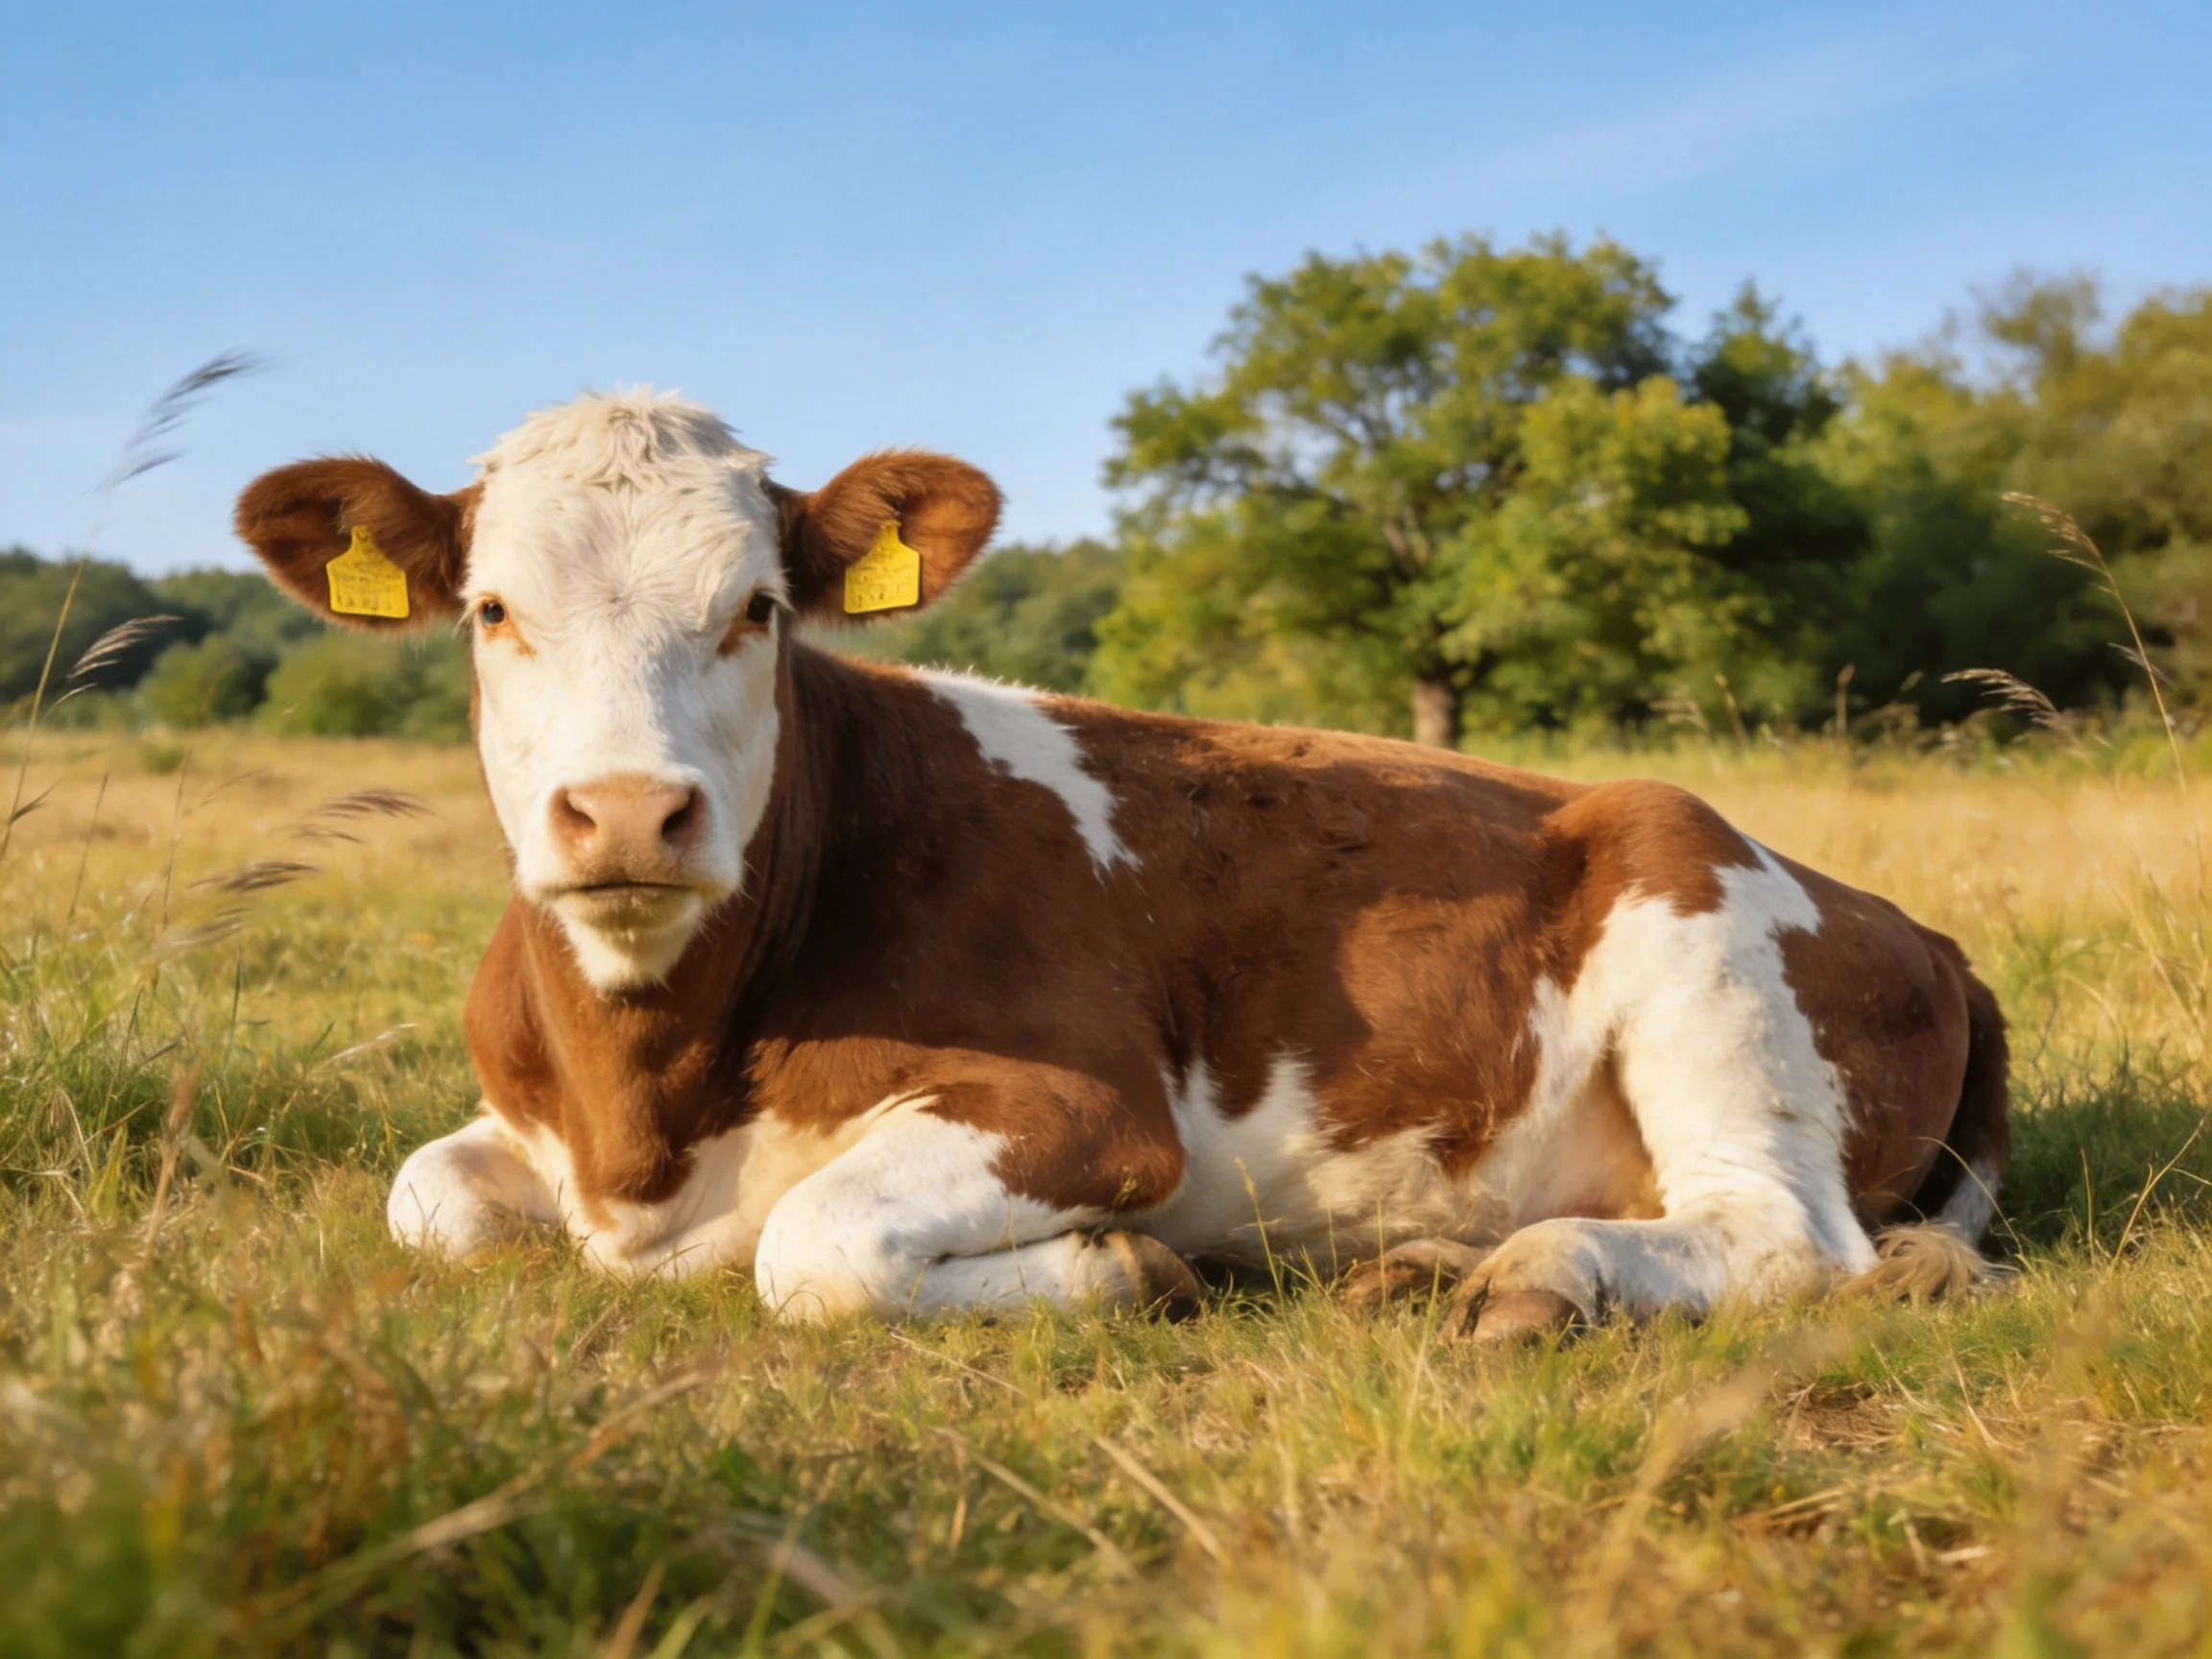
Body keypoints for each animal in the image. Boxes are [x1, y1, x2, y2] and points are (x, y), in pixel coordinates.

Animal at [234, 390, 2008, 1340]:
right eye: (491, 609)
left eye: (755, 609)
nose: (623, 813)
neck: (645, 1116)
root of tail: (1922, 929)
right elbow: (423, 1195)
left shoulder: (1090, 1103)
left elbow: (815, 1247)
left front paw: (1127, 1265)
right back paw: (1423, 1261)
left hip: (1692, 914)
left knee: (1782, 1237)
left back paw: (1537, 1275)